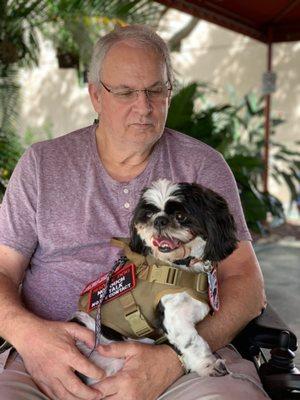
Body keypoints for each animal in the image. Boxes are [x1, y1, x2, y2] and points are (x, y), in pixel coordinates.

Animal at [74, 179, 238, 384]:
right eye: (149, 214)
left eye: (181, 215)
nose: (159, 220)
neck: (180, 266)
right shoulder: (174, 316)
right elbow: (193, 342)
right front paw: (209, 365)